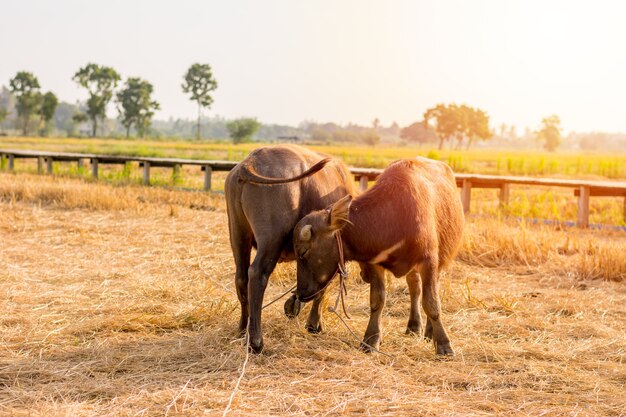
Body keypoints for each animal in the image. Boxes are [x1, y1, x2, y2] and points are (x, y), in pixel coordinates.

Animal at [292, 157, 464, 354]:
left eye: (303, 252)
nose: (301, 293)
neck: (393, 217)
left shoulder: (429, 261)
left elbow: (432, 303)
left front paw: (443, 344)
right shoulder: (376, 264)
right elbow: (377, 300)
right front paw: (371, 339)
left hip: (439, 262)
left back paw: (429, 332)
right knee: (414, 288)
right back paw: (413, 326)